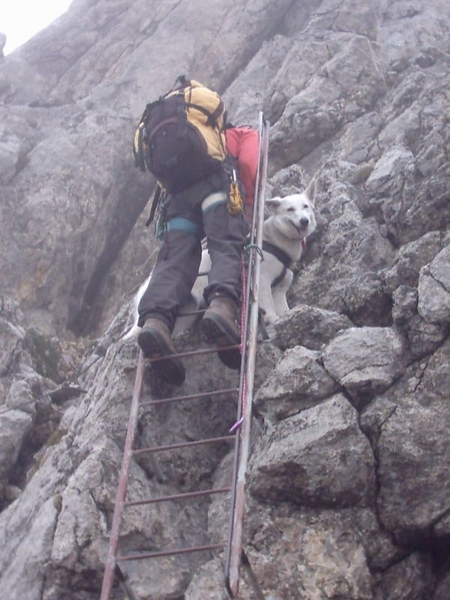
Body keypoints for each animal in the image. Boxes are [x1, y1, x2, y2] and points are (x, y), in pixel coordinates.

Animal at [123, 178, 316, 340]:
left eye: (305, 206)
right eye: (290, 209)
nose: (304, 221)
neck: (277, 241)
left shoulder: (280, 288)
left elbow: (283, 307)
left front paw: (286, 316)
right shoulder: (262, 281)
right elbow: (269, 308)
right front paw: (273, 319)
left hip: (184, 314)